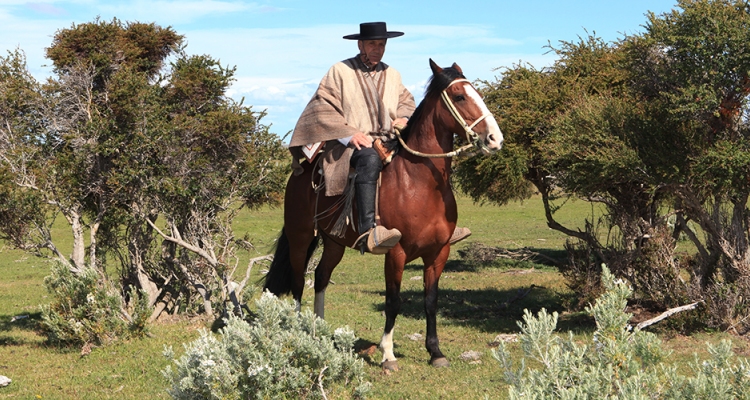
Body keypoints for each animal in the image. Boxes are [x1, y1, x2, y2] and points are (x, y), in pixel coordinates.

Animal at [264, 58, 506, 368]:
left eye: (478, 92)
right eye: (460, 96)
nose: (495, 139)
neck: (418, 184)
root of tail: (302, 171)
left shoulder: (438, 253)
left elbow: (431, 301)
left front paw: (435, 351)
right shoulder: (396, 253)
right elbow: (393, 302)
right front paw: (388, 352)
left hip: (333, 242)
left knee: (320, 276)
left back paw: (320, 329)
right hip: (301, 237)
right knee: (297, 281)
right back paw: (300, 330)